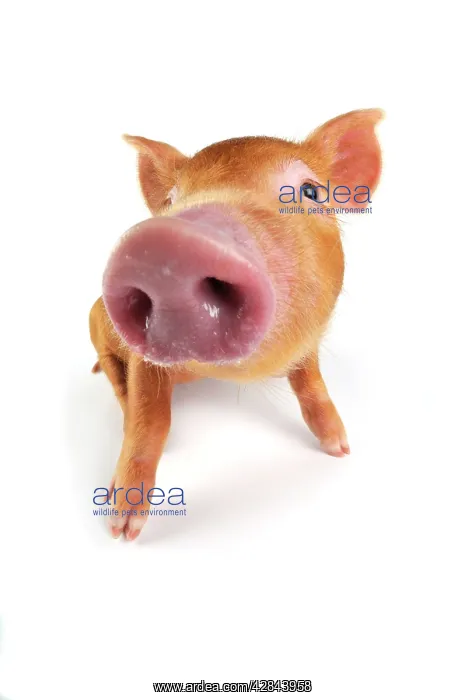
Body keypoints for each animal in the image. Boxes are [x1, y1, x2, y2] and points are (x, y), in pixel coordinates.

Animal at [89, 108, 383, 540]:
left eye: (311, 192)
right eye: (171, 200)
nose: (170, 245)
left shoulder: (308, 345)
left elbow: (312, 386)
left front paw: (340, 448)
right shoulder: (144, 358)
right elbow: (151, 420)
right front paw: (122, 528)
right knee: (111, 370)